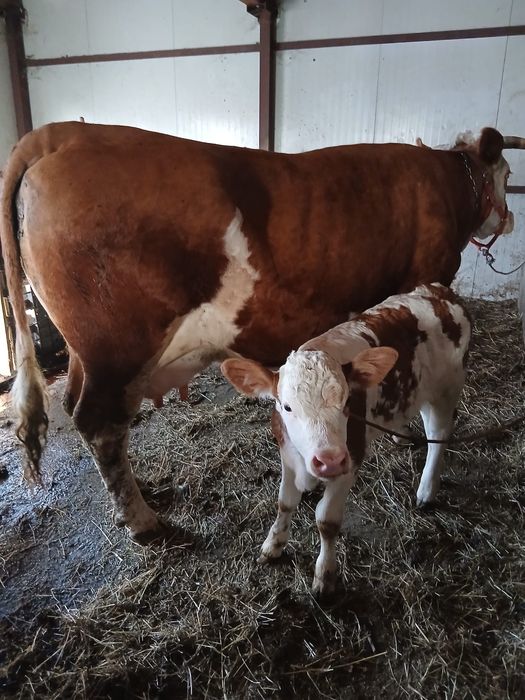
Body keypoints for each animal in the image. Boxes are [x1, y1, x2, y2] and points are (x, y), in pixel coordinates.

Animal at [0, 122, 521, 540]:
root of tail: (63, 133)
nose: (510, 216)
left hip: (87, 354)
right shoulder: (423, 277)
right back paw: (143, 521)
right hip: (116, 350)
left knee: (86, 412)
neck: (445, 182)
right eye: (508, 175)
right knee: (99, 422)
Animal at [221, 284, 471, 597]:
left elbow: (326, 520)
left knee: (438, 435)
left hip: (447, 389)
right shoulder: (287, 455)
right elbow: (285, 503)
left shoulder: (350, 459)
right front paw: (273, 545)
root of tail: (435, 290)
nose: (329, 461)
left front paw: (325, 575)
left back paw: (426, 490)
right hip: (421, 391)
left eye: (346, 403)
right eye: (287, 407)